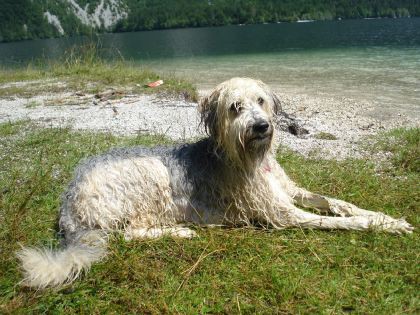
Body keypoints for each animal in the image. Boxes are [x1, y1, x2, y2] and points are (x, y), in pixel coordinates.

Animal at [17, 78, 414, 288]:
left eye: (260, 101)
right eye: (234, 107)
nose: (262, 127)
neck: (250, 159)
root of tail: (68, 205)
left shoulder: (288, 192)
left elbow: (334, 202)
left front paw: (381, 215)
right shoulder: (281, 214)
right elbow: (337, 221)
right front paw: (382, 224)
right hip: (145, 178)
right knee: (126, 234)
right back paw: (179, 232)